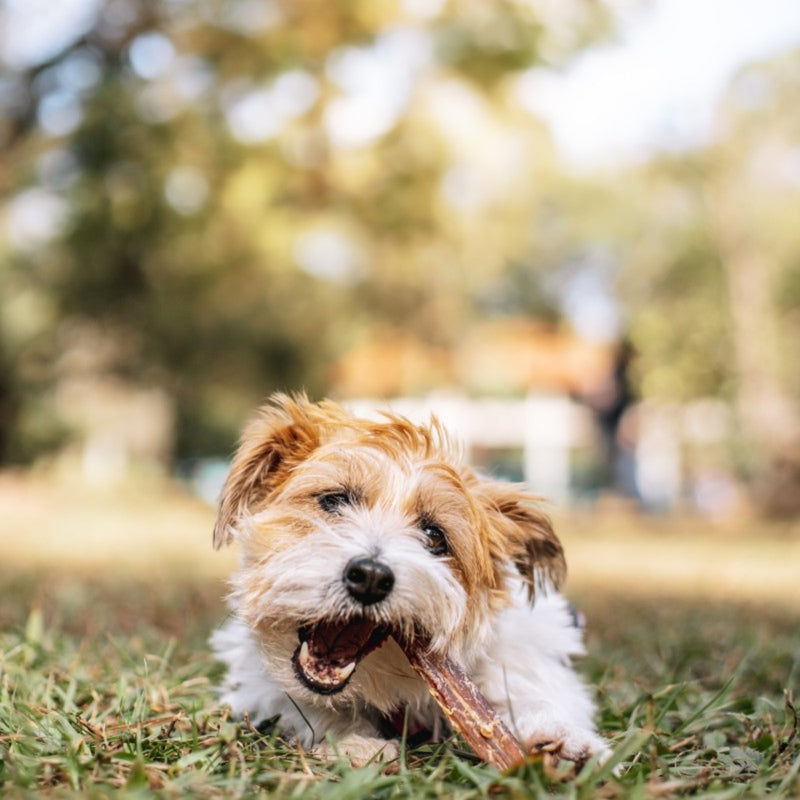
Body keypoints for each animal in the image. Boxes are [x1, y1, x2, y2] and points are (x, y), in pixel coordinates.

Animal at [209, 394, 608, 768]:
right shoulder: (256, 682)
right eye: (334, 500)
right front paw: (354, 740)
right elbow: (299, 703)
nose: (370, 577)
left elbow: (536, 691)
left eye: (434, 536)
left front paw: (562, 738)